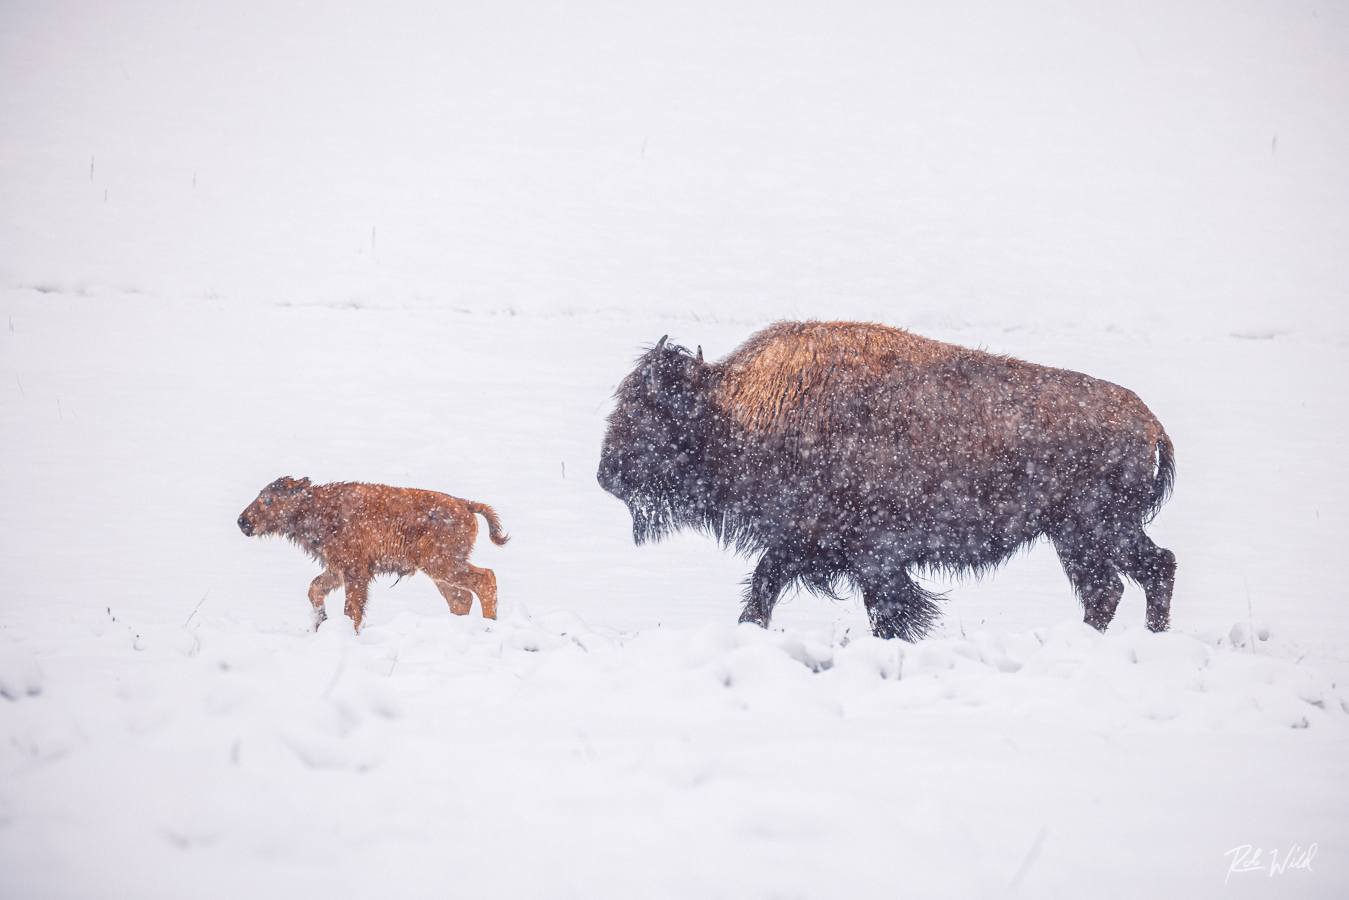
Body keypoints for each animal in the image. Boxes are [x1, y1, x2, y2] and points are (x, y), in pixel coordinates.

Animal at [238, 477, 509, 631]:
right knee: (461, 598)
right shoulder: (337, 570)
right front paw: (319, 623)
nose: (242, 521)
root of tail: (465, 505)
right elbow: (314, 589)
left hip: (442, 564)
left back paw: (489, 625)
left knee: (485, 579)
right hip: (438, 571)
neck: (320, 507)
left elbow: (351, 609)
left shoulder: (356, 572)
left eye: (268, 500)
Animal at [597, 320, 1175, 640]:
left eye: (648, 411)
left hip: (1096, 528)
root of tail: (1150, 421)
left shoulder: (872, 556)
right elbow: (762, 588)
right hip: (1077, 535)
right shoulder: (801, 544)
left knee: (1145, 572)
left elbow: (889, 611)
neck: (737, 408)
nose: (605, 475)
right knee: (1117, 584)